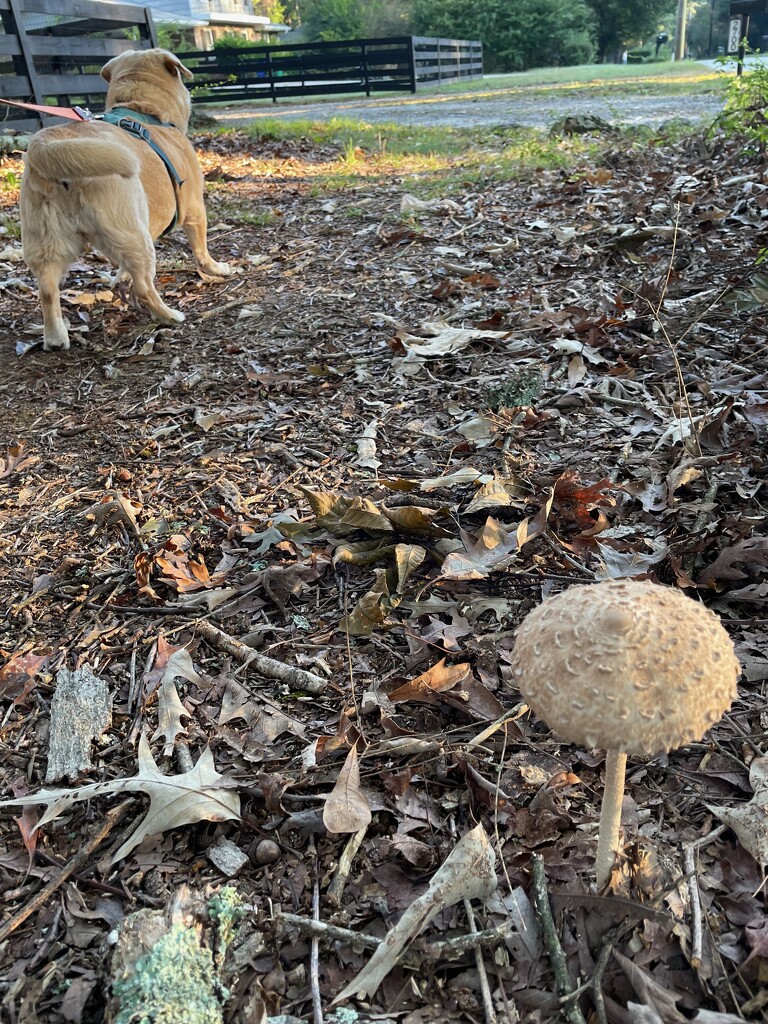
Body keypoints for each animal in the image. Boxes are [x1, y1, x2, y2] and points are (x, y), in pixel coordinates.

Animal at [19, 48, 230, 352]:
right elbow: (202, 251)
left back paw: (56, 338)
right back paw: (168, 315)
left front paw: (120, 277)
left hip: (46, 245)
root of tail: (47, 145)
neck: (142, 110)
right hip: (135, 238)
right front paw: (216, 268)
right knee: (144, 287)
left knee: (47, 291)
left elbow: (121, 270)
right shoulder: (194, 210)